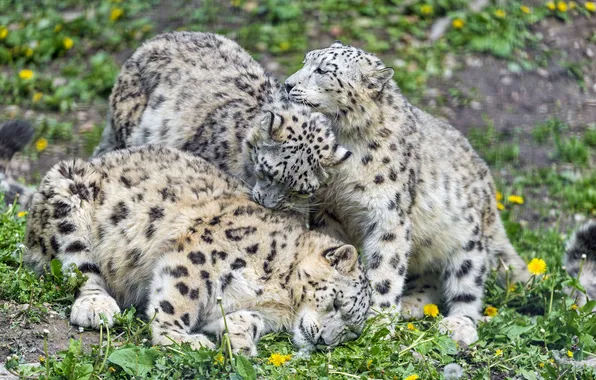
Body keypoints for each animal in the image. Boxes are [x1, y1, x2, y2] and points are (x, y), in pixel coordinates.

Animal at [24, 145, 372, 356]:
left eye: (352, 332)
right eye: (337, 302)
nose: (325, 340)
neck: (281, 301)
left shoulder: (250, 309)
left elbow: (245, 319)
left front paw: (241, 345)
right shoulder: (198, 258)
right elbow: (178, 299)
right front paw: (180, 339)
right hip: (68, 197)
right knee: (78, 267)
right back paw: (97, 307)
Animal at [284, 41, 532, 344]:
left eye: (322, 70)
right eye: (305, 61)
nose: (287, 84)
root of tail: (490, 195)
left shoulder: (388, 215)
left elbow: (386, 269)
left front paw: (378, 321)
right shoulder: (328, 208)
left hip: (467, 242)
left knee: (468, 286)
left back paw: (457, 324)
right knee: (429, 276)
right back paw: (411, 305)